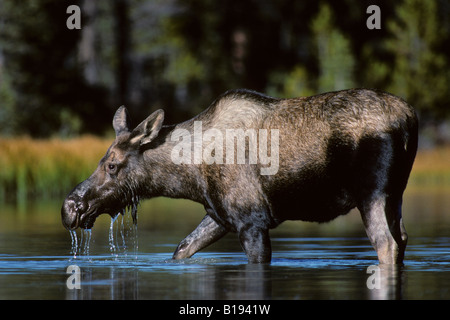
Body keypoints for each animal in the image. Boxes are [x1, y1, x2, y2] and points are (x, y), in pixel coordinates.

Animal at [60, 89, 418, 264]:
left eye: (112, 165)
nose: (70, 207)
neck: (189, 178)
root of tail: (410, 118)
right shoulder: (221, 216)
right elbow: (182, 249)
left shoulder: (252, 220)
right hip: (396, 195)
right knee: (401, 239)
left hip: (372, 193)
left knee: (386, 244)